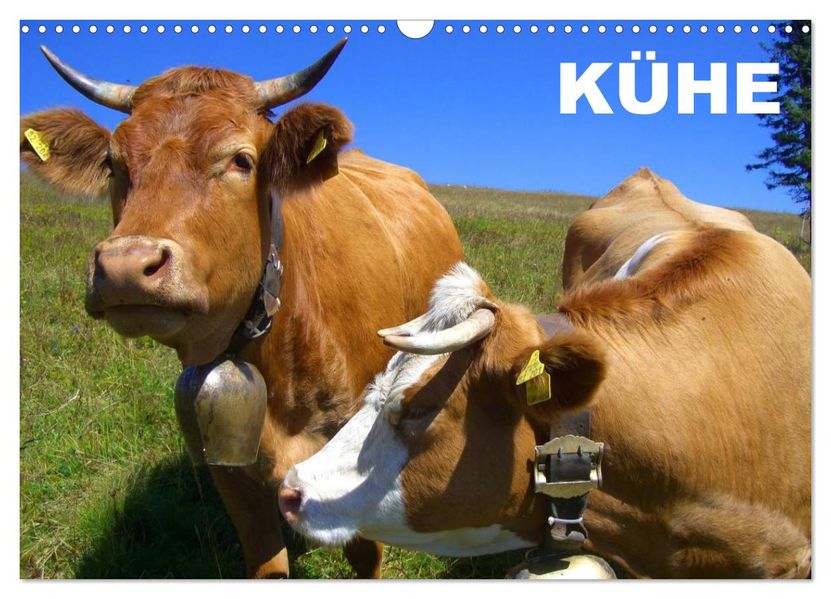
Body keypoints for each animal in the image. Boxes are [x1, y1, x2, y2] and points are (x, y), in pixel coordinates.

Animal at [20, 41, 463, 578]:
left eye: (241, 160)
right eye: (113, 164)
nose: (125, 266)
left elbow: (365, 552)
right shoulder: (230, 471)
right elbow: (267, 565)